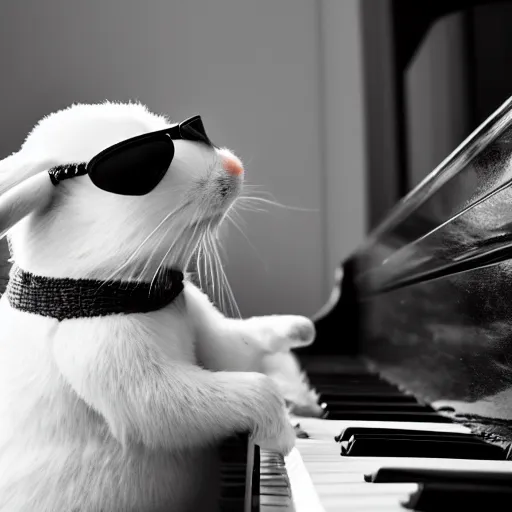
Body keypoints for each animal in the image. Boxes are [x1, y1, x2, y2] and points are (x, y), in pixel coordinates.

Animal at [0, 102, 316, 512]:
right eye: (139, 168)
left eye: (196, 129)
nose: (234, 168)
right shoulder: (132, 377)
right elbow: (243, 391)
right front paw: (284, 434)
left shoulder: (211, 335)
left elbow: (244, 344)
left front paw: (302, 332)